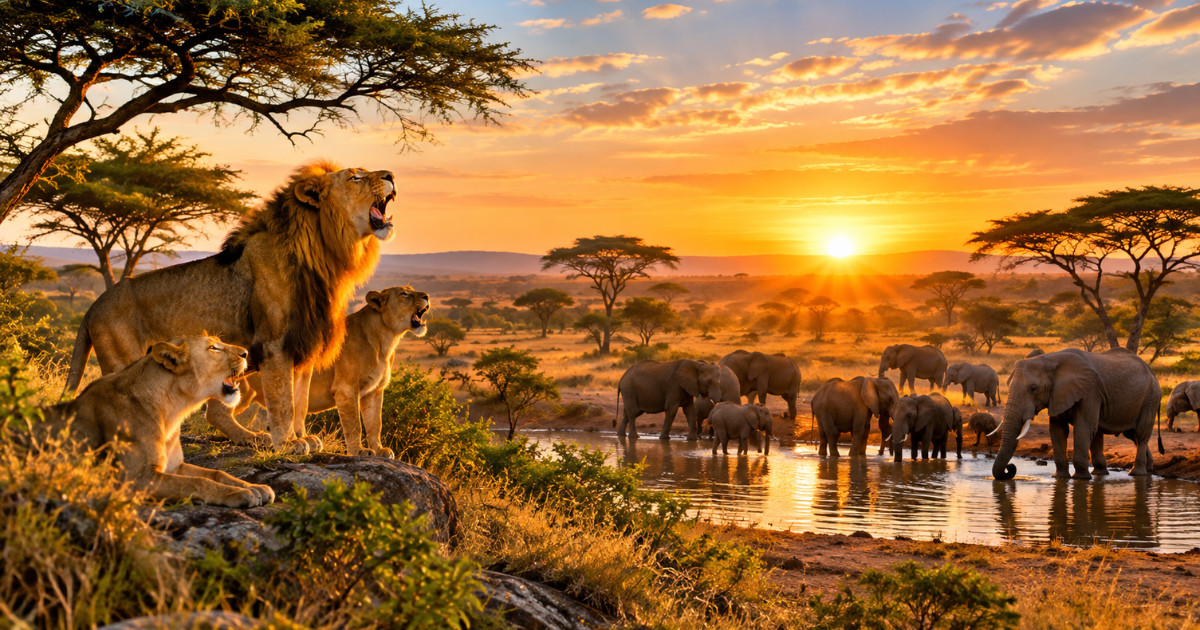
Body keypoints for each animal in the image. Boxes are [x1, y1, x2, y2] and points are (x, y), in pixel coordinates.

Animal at [39, 335, 275, 508]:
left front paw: (254, 487)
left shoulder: (175, 466)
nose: (246, 353)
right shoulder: (136, 479)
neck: (172, 410)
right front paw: (241, 492)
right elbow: (197, 482)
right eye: (213, 348)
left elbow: (217, 473)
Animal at [64, 161, 395, 453]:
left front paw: (302, 438)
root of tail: (95, 304)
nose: (391, 175)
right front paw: (288, 444)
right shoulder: (275, 344)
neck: (326, 256)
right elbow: (284, 401)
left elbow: (300, 400)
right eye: (355, 177)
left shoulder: (304, 341)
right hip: (126, 362)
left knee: (217, 412)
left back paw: (253, 438)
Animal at [236, 286, 430, 457]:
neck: (386, 340)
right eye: (405, 293)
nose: (427, 296)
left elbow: (375, 424)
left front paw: (379, 450)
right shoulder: (346, 389)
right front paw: (358, 451)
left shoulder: (374, 391)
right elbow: (355, 425)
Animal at [992, 348, 1161, 481]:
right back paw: (1142, 470)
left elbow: (1084, 427)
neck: (1051, 359)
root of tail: (1152, 373)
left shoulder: (1090, 392)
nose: (1010, 468)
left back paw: (1136, 473)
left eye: (1033, 389)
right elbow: (1058, 430)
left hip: (1150, 399)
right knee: (1131, 435)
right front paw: (1060, 478)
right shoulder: (1057, 395)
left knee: (1140, 433)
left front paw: (1081, 479)